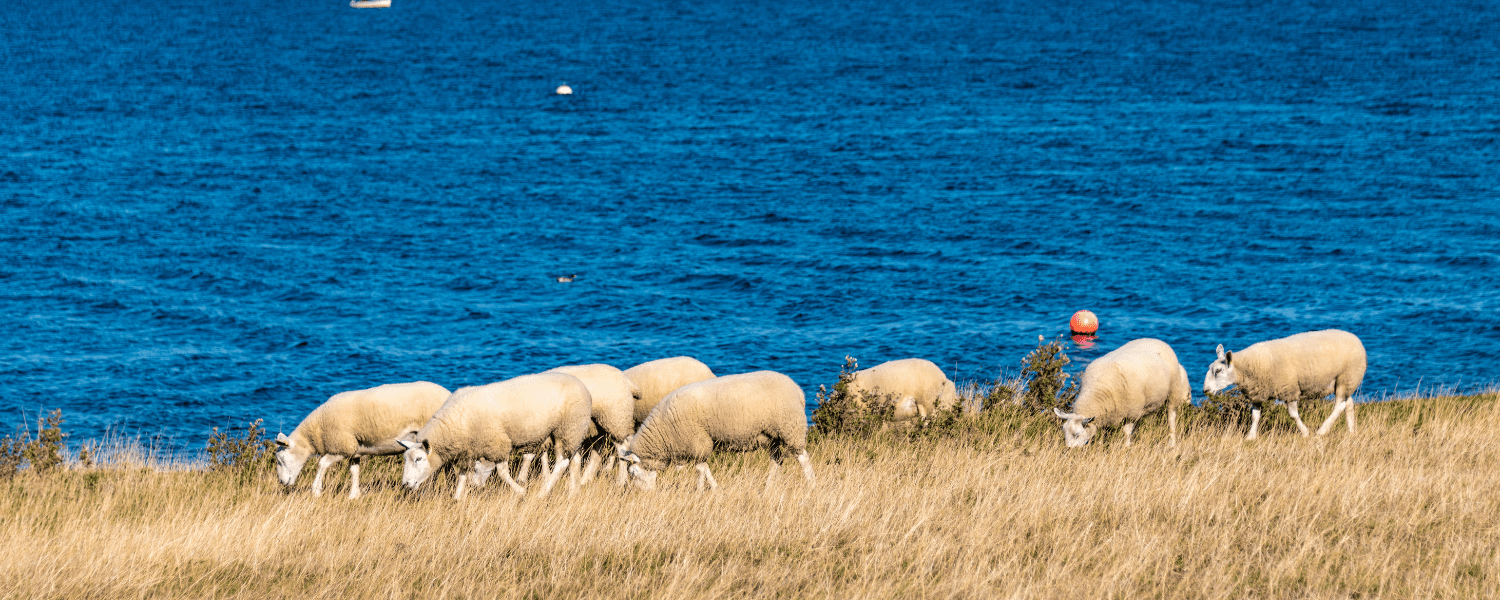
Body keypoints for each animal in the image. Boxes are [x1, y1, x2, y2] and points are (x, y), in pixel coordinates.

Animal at [276, 382, 447, 498]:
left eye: (281, 459)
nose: (281, 482)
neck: (318, 428)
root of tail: (446, 392)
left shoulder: (343, 446)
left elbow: (322, 463)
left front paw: (316, 490)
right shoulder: (354, 450)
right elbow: (354, 471)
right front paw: (354, 495)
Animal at [402, 372, 594, 498]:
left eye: (418, 459)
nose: (405, 484)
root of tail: (581, 385)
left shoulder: (496, 443)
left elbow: (501, 472)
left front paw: (521, 491)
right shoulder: (469, 450)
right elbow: (463, 474)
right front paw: (457, 497)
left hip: (568, 426)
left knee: (562, 462)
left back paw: (543, 492)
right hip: (573, 431)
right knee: (574, 460)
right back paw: (574, 491)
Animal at [618, 370, 816, 492]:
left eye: (633, 473)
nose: (643, 494)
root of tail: (798, 391)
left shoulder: (698, 441)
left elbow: (700, 469)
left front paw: (703, 490)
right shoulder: (698, 444)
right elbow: (703, 467)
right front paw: (713, 488)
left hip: (790, 427)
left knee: (803, 457)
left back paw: (810, 482)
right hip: (771, 436)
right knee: (776, 460)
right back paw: (768, 486)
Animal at [1050, 340, 1188, 447]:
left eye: (1077, 434)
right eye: (1064, 432)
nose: (1068, 449)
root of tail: (1157, 340)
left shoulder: (1132, 413)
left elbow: (1126, 433)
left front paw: (1126, 447)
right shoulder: (1107, 415)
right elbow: (1103, 434)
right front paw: (1101, 445)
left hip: (1173, 391)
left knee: (1171, 417)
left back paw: (1172, 442)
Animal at [1200, 328, 1368, 441]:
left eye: (1218, 370)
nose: (1205, 390)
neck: (1248, 366)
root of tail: (1356, 339)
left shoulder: (1289, 390)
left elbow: (1293, 415)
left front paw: (1305, 432)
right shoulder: (1257, 393)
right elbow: (1255, 416)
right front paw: (1250, 436)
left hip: (1346, 377)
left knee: (1339, 405)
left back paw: (1322, 430)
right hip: (1345, 380)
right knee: (1348, 404)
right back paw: (1352, 431)